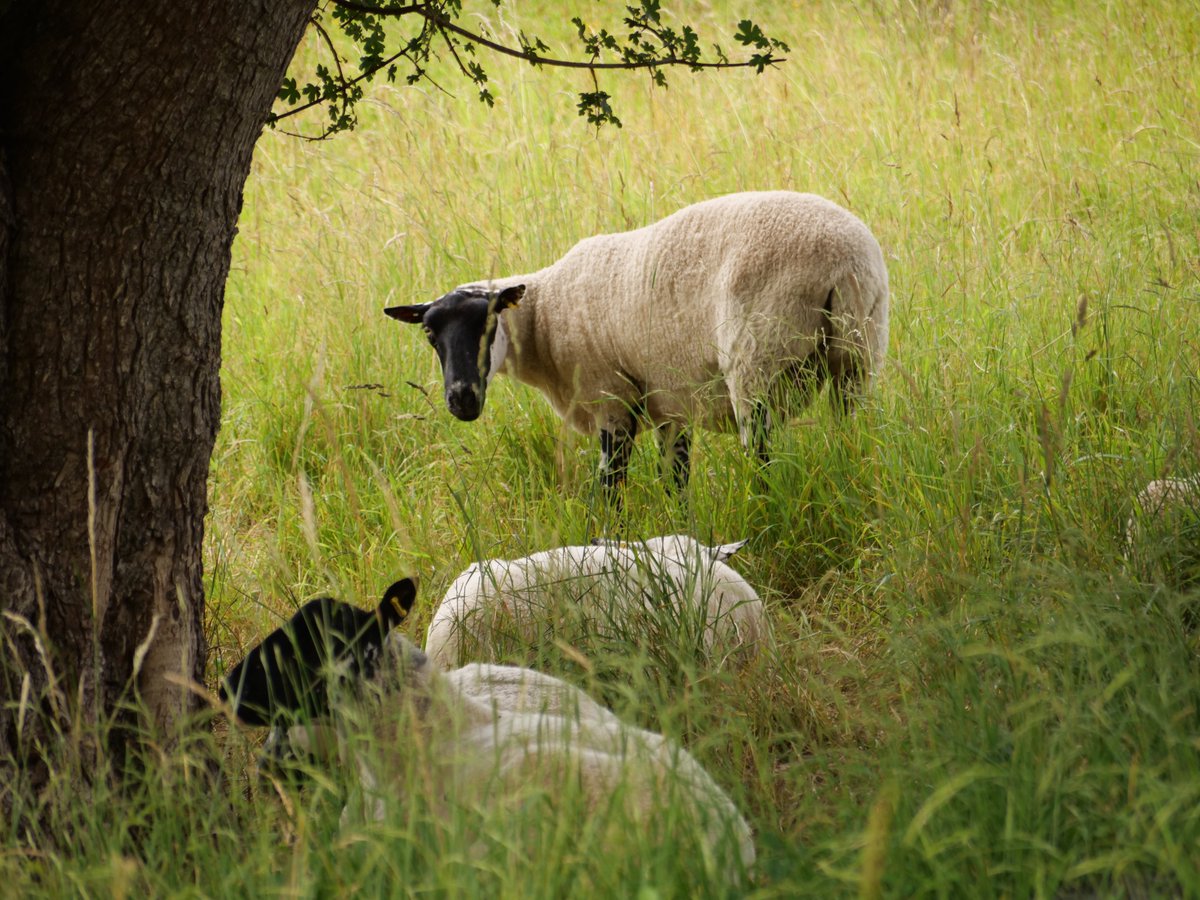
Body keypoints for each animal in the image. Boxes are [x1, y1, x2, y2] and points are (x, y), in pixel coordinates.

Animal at [384, 189, 892, 494]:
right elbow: (676, 481)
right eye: (429, 333)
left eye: (490, 324)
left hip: (756, 358)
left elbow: (610, 487)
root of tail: (843, 259)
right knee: (854, 431)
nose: (462, 400)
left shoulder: (611, 398)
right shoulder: (670, 404)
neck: (545, 317)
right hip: (859, 353)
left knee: (761, 455)